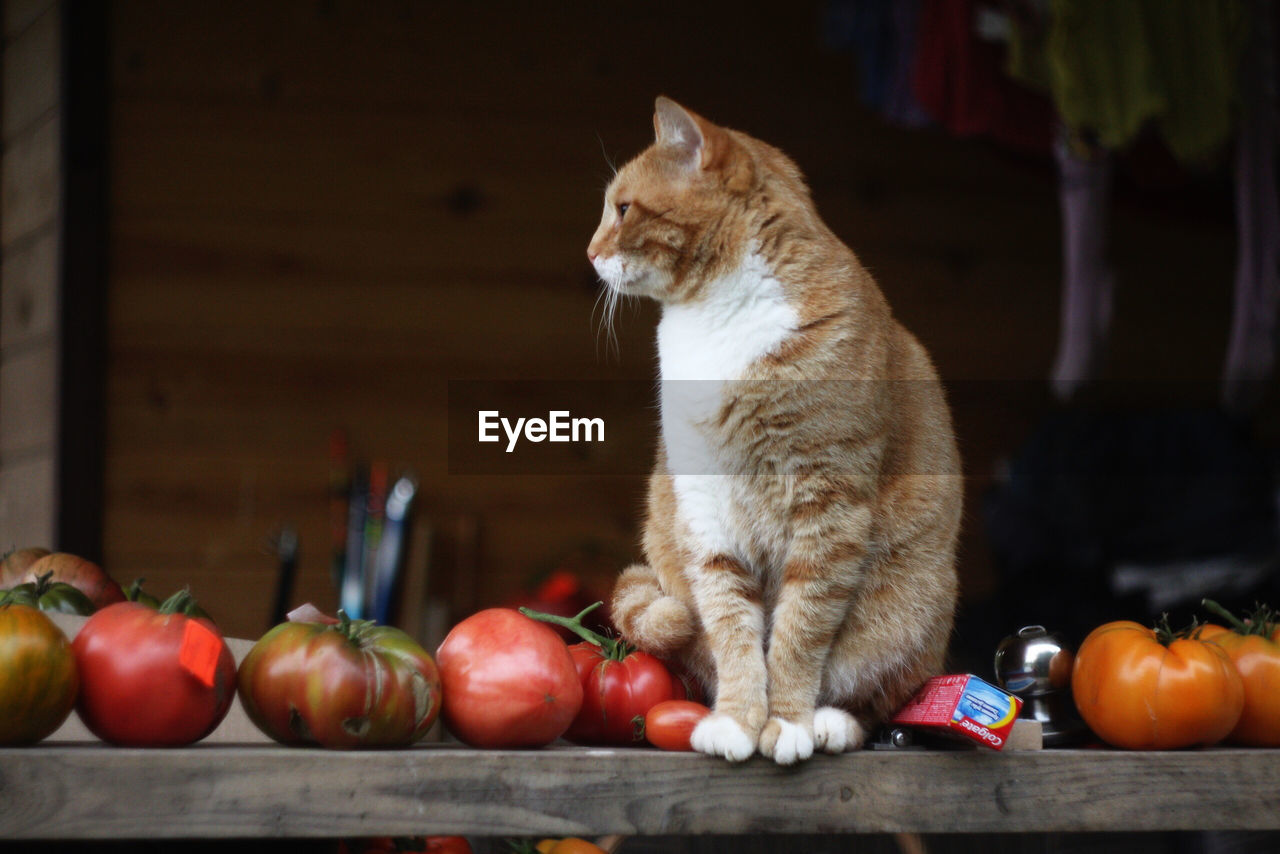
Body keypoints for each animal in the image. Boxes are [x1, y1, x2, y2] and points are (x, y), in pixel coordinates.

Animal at [588, 96, 962, 763]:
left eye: (623, 209)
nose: (588, 252)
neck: (714, 319)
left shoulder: (829, 505)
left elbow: (799, 631)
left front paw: (785, 721)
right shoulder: (706, 510)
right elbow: (733, 627)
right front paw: (739, 720)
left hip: (908, 611)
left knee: (872, 695)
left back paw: (829, 722)